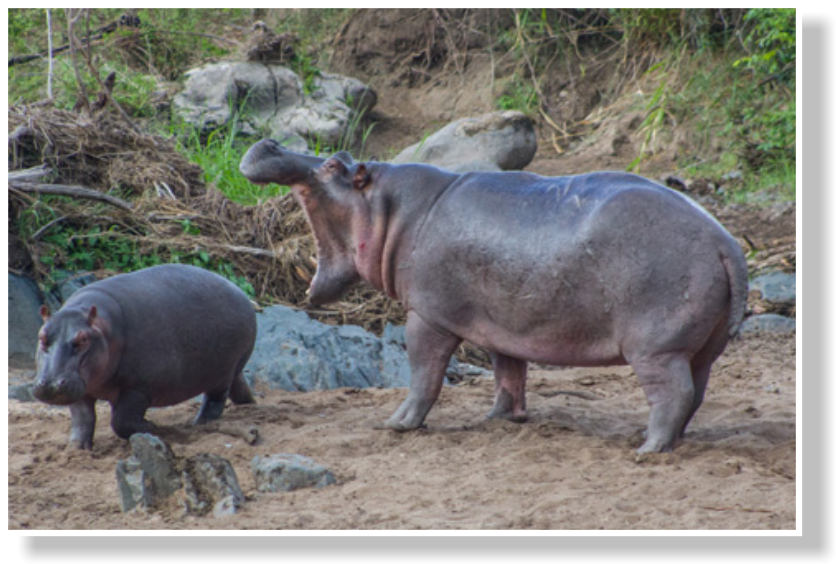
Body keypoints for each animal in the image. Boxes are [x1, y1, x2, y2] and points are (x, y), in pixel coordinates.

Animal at [32, 264, 256, 450]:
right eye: (41, 336)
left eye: (84, 339)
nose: (51, 384)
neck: (104, 329)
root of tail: (240, 292)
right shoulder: (82, 391)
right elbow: (82, 420)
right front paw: (77, 449)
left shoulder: (138, 388)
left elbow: (120, 422)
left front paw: (155, 428)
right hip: (231, 370)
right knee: (238, 386)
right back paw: (248, 404)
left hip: (223, 372)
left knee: (215, 400)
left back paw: (198, 424)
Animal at [240, 141, 744, 454]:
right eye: (340, 155)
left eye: (332, 166)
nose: (270, 143)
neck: (391, 210)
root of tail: (725, 242)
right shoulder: (506, 324)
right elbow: (508, 373)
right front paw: (500, 419)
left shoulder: (427, 315)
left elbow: (424, 374)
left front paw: (397, 423)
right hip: (702, 346)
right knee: (696, 391)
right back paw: (662, 439)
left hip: (656, 347)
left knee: (674, 393)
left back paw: (647, 448)